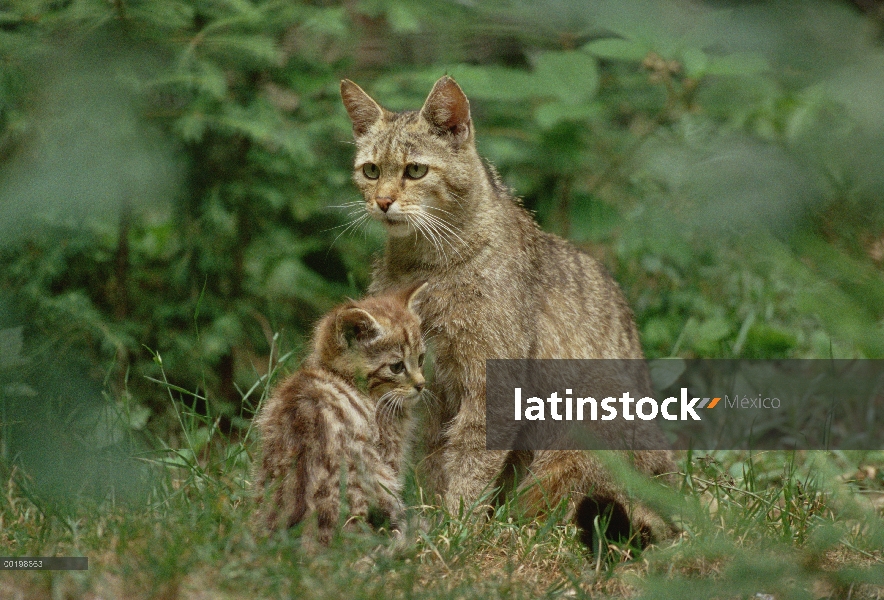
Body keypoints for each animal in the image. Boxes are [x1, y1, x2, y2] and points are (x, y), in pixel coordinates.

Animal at [342, 77, 672, 548]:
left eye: (415, 171)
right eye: (370, 171)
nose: (383, 201)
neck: (423, 266)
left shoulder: (489, 384)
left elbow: (470, 461)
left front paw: (456, 527)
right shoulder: (430, 388)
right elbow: (432, 461)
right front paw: (429, 517)